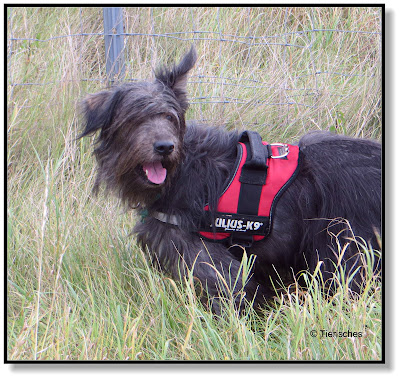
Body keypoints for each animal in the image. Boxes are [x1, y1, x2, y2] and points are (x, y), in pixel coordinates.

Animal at [80, 47, 382, 312]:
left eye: (169, 116)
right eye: (133, 119)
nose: (165, 146)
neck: (183, 165)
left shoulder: (204, 256)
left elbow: (229, 288)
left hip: (345, 248)